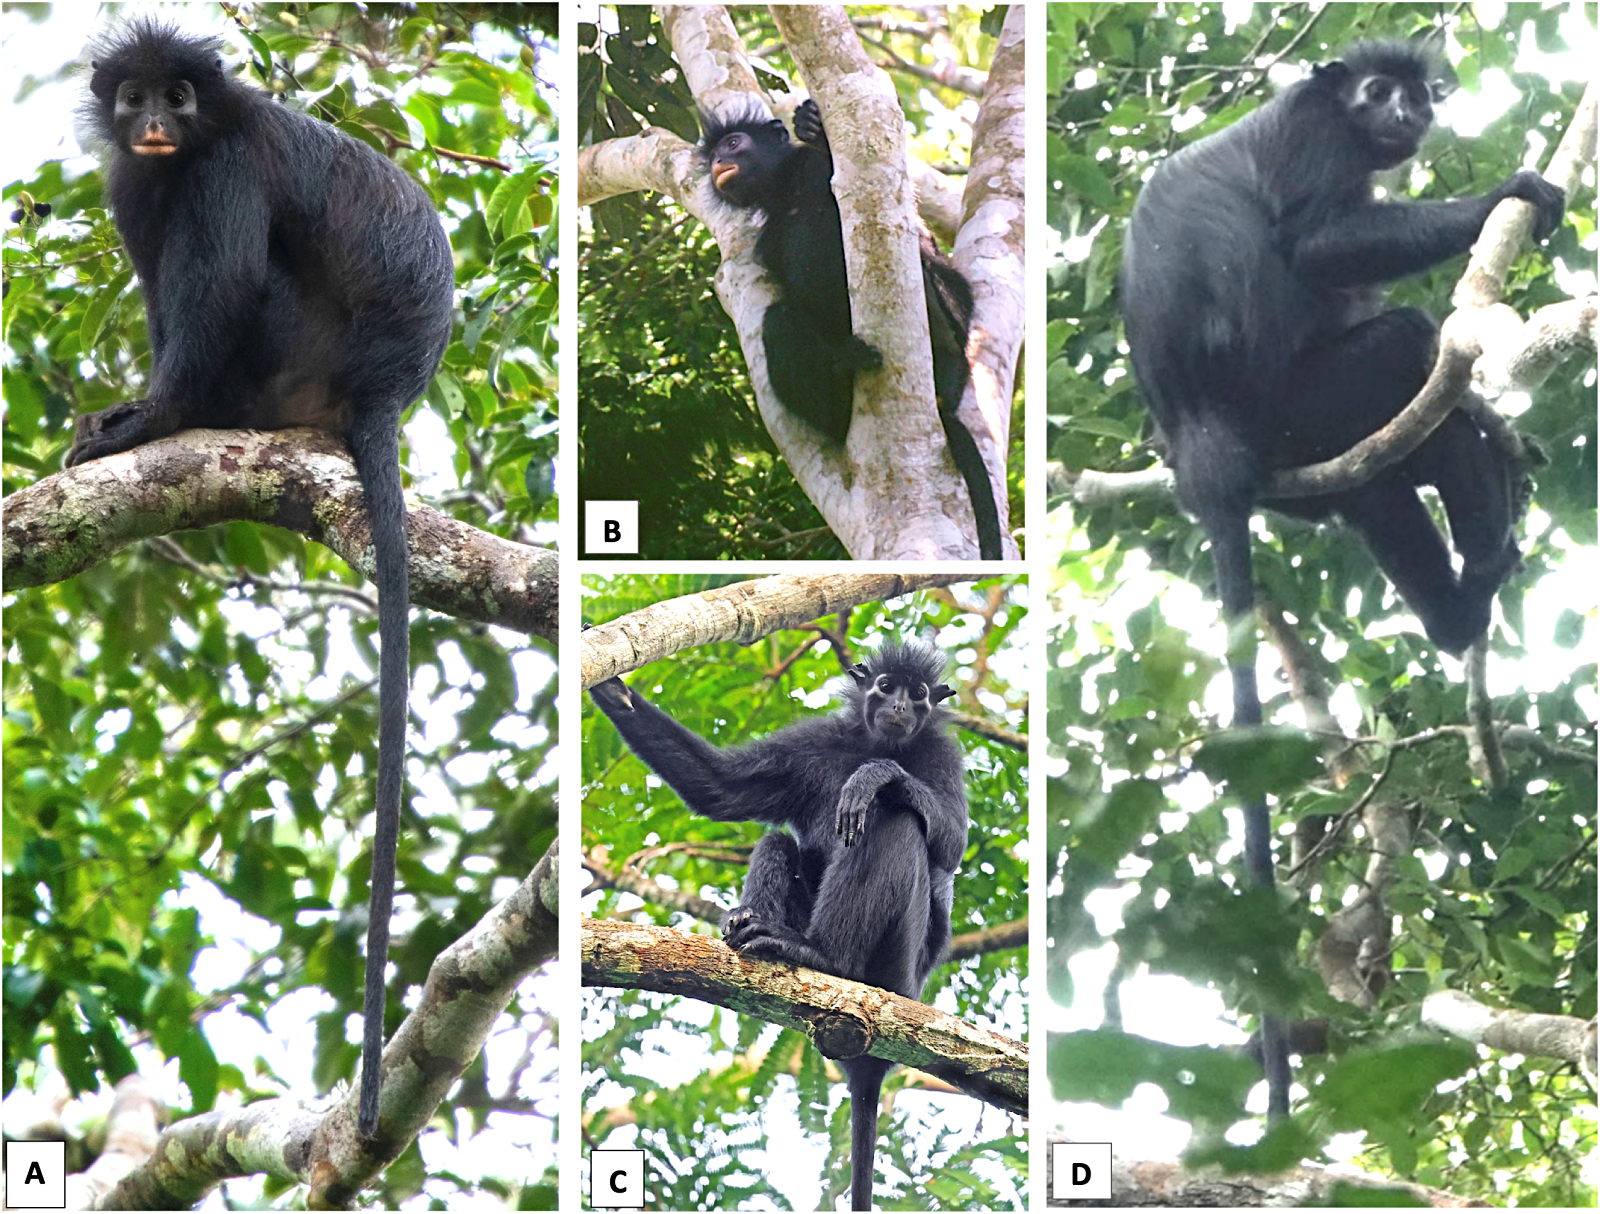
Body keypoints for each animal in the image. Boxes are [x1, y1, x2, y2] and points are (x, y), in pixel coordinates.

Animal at [71, 18, 455, 1137]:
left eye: (182, 97)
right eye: (139, 96)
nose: (157, 121)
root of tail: (381, 390)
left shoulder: (224, 165)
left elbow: (220, 283)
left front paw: (149, 420)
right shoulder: (133, 180)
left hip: (292, 352)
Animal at [589, 641, 969, 1210]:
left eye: (919, 693)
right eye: (885, 687)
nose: (901, 706)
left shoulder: (944, 755)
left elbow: (951, 840)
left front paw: (876, 775)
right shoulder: (814, 744)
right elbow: (721, 789)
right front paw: (615, 691)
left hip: (898, 968)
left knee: (895, 821)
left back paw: (823, 954)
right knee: (778, 841)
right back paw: (754, 927)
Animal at [699, 98, 1005, 561]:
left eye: (734, 143)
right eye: (716, 152)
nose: (719, 160)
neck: (786, 193)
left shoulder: (814, 172)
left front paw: (814, 126)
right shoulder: (766, 241)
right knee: (778, 320)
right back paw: (845, 371)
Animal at [1119, 38, 1564, 1120]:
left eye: (1416, 94)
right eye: (1376, 91)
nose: (1406, 113)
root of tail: (1203, 443)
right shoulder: (1316, 137)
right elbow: (1319, 248)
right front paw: (1511, 191)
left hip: (1305, 456)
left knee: (1375, 490)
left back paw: (1454, 602)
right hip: (1308, 401)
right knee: (1405, 344)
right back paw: (1474, 577)